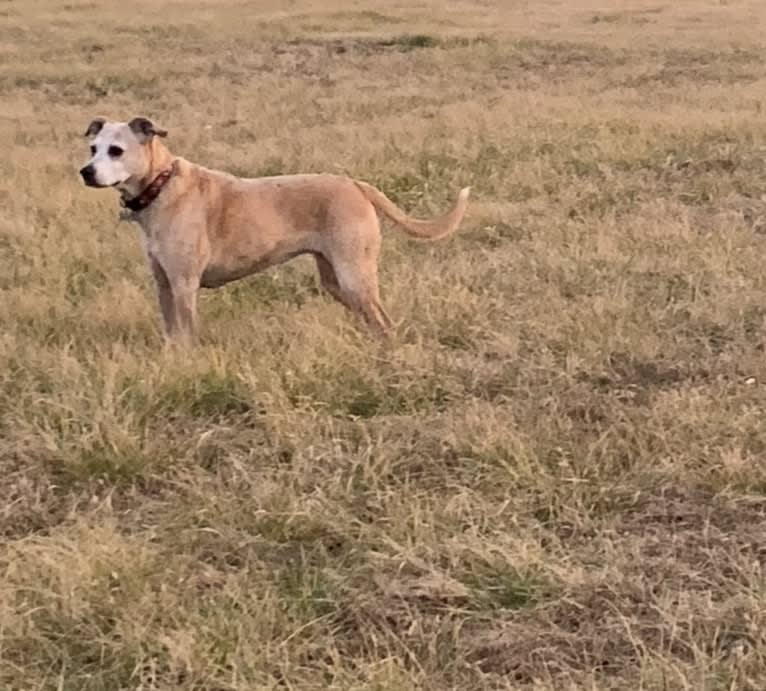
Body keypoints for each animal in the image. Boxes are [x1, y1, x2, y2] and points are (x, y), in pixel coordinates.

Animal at [81, 119, 472, 346]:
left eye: (116, 151)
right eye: (92, 148)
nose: (85, 171)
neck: (161, 185)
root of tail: (355, 185)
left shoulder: (184, 285)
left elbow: (188, 333)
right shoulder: (163, 284)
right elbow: (171, 334)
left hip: (354, 276)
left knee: (384, 322)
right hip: (336, 281)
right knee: (374, 320)